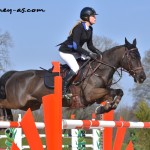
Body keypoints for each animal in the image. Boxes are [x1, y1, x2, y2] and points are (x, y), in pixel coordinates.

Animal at [0, 37, 146, 120]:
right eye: (133, 57)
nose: (142, 77)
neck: (99, 70)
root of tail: (13, 74)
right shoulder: (90, 94)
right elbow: (111, 92)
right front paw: (104, 108)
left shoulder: (98, 96)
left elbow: (117, 92)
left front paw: (106, 108)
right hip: (18, 102)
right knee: (3, 103)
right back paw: (3, 118)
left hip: (31, 105)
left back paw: (8, 119)